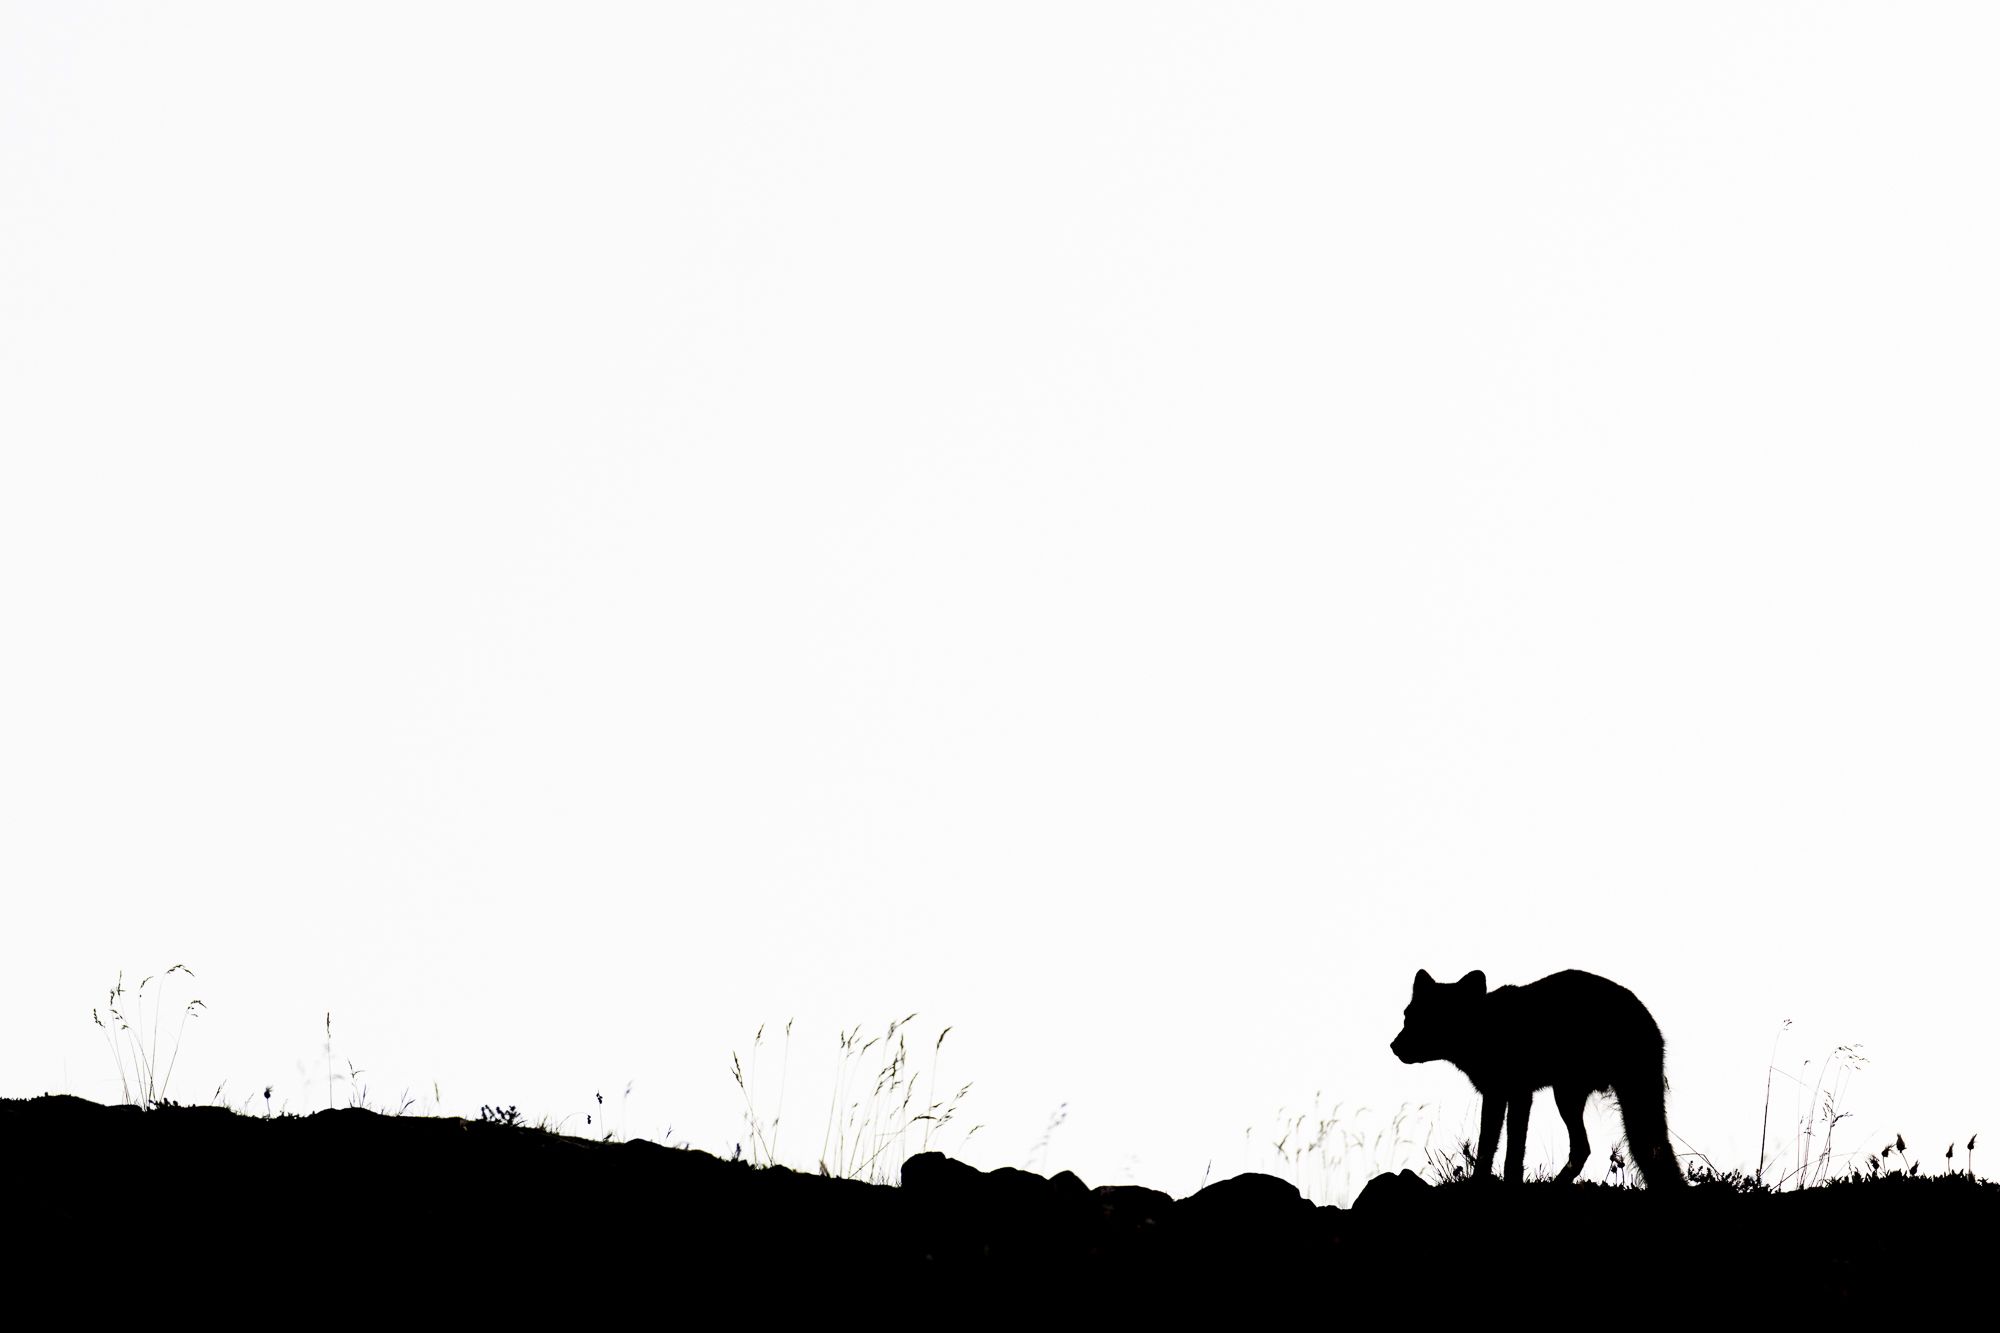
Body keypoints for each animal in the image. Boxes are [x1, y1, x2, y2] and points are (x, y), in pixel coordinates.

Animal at [1391, 968, 1685, 1189]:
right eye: (1408, 1016)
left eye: (1429, 1018)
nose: (1394, 1046)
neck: (1485, 1028)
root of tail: (1648, 1017)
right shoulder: (1499, 1094)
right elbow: (1491, 1146)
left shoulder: (1516, 1094)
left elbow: (1508, 1150)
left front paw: (1505, 1183)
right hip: (1579, 1099)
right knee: (1596, 1149)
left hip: (1581, 1098)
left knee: (1598, 1149)